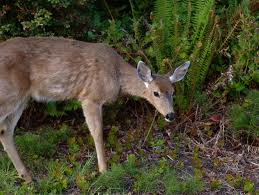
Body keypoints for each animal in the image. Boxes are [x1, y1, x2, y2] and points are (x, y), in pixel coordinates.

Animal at [0, 37, 191, 183]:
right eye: (155, 92)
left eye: (173, 92)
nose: (170, 115)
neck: (116, 74)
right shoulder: (90, 97)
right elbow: (97, 132)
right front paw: (104, 170)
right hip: (9, 94)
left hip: (22, 99)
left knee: (6, 131)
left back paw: (27, 177)